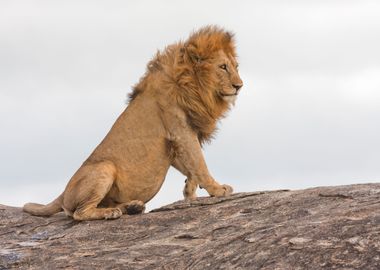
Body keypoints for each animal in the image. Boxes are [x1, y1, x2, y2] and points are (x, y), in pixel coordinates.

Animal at [23, 25, 243, 220]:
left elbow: (190, 167)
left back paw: (132, 206)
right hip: (105, 168)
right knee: (78, 213)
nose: (239, 86)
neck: (192, 85)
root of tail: (62, 193)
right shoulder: (180, 131)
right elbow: (199, 163)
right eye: (223, 67)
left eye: (236, 67)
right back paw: (111, 213)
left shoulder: (176, 142)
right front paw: (218, 189)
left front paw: (190, 191)